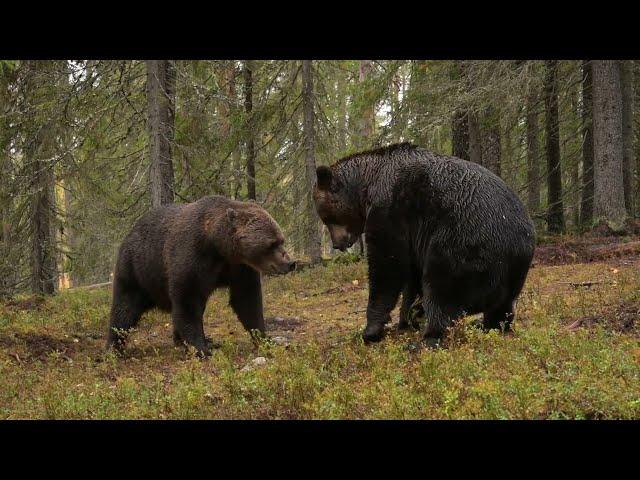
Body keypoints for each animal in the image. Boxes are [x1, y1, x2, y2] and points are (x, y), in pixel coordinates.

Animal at [106, 195, 296, 356]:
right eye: (272, 244)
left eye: (281, 239)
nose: (290, 263)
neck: (218, 248)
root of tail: (130, 231)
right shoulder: (191, 258)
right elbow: (187, 301)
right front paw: (201, 348)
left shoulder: (239, 268)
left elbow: (247, 300)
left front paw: (266, 339)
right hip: (137, 268)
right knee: (125, 309)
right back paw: (114, 348)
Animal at [314, 142, 536, 344]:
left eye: (326, 217)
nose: (337, 244)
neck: (367, 187)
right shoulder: (414, 234)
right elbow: (410, 275)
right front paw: (406, 319)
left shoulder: (390, 211)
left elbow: (387, 266)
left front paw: (371, 330)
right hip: (513, 270)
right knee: (502, 307)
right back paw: (487, 325)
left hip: (464, 242)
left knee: (442, 290)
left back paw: (427, 338)